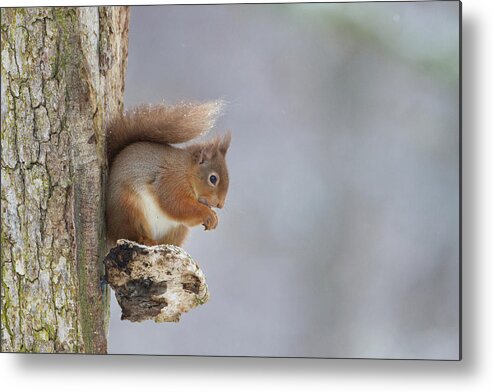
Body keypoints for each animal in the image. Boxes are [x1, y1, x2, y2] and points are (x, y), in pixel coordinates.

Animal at [105, 102, 229, 247]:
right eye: (213, 178)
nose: (220, 205)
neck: (186, 171)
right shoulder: (170, 181)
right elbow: (175, 204)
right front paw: (208, 214)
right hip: (129, 210)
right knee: (130, 234)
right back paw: (145, 240)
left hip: (177, 230)